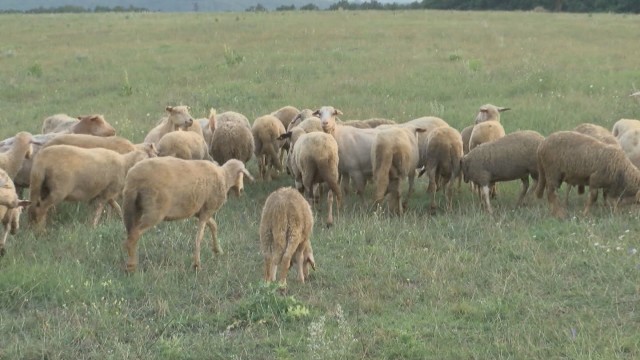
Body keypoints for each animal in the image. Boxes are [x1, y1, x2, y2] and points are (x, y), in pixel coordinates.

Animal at [27, 143, 159, 228]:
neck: (125, 165)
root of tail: (41, 160)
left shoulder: (104, 192)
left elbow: (114, 207)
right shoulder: (109, 191)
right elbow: (99, 210)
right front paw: (94, 227)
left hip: (42, 188)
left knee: (36, 208)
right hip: (58, 190)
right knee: (41, 208)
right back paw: (40, 231)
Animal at [122, 156, 255, 272]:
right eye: (242, 174)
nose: (241, 190)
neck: (224, 176)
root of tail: (133, 178)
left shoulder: (199, 211)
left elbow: (213, 225)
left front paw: (217, 250)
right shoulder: (208, 210)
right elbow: (199, 236)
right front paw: (197, 265)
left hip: (134, 209)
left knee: (130, 234)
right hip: (154, 212)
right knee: (133, 235)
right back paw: (131, 267)